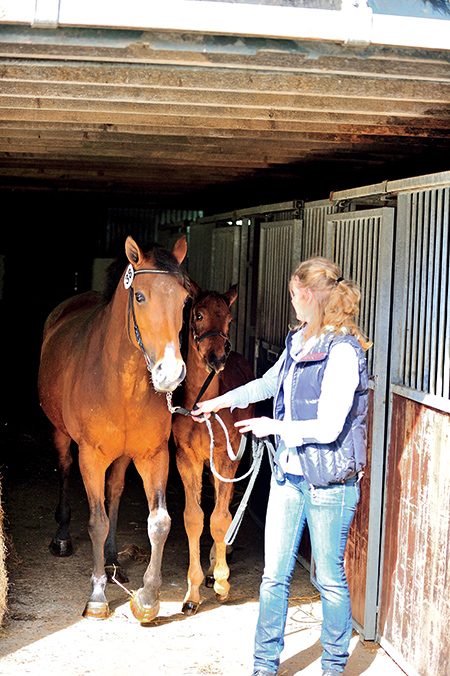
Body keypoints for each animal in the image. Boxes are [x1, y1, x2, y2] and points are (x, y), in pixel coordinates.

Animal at [37, 235, 189, 622]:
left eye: (185, 300)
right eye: (140, 297)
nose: (171, 373)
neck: (121, 384)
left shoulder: (154, 456)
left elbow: (159, 522)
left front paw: (148, 598)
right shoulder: (91, 456)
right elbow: (96, 520)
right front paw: (97, 596)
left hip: (123, 457)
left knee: (116, 489)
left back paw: (109, 557)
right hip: (61, 435)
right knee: (65, 470)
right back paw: (63, 537)